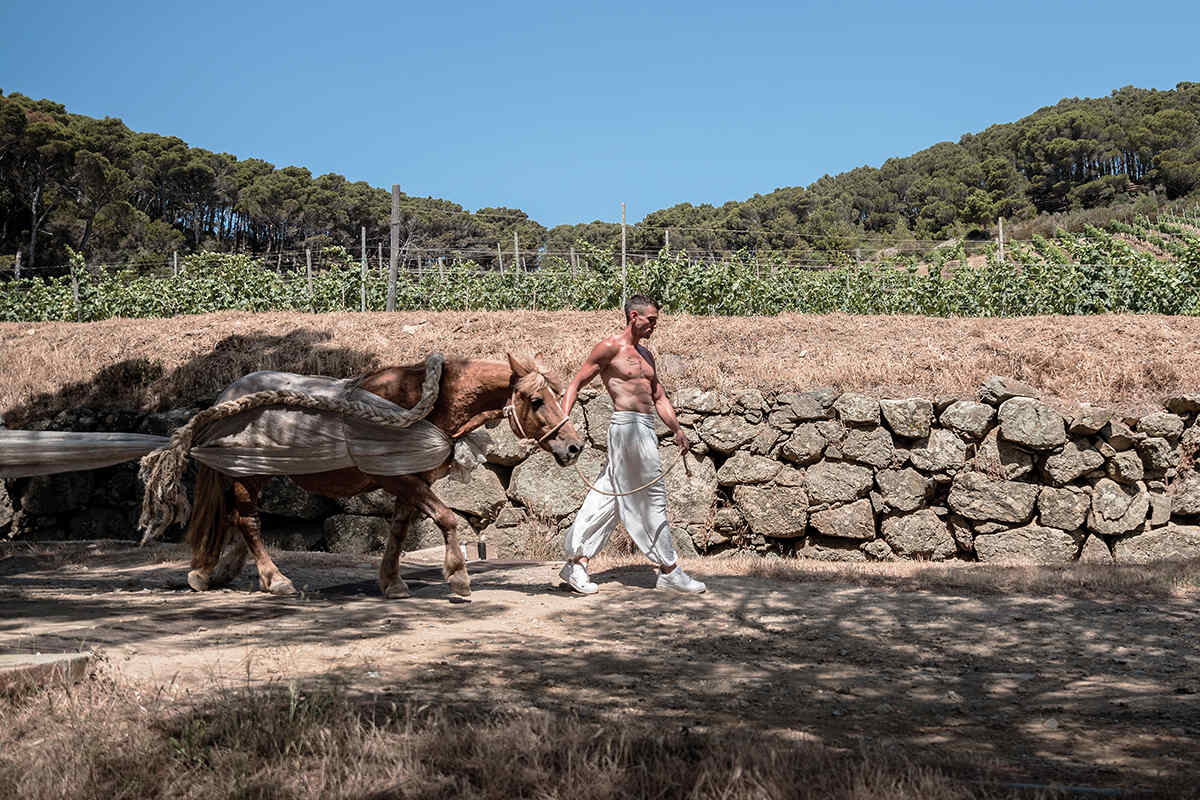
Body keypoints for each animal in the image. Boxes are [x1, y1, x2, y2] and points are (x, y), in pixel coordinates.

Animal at [182, 352, 585, 597]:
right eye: (537, 401)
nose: (574, 446)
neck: (423, 401)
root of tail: (225, 397)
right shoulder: (399, 478)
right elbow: (447, 518)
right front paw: (457, 576)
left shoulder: (413, 478)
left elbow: (400, 530)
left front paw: (392, 581)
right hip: (247, 473)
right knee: (248, 520)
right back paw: (274, 578)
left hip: (251, 470)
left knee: (233, 519)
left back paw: (211, 572)